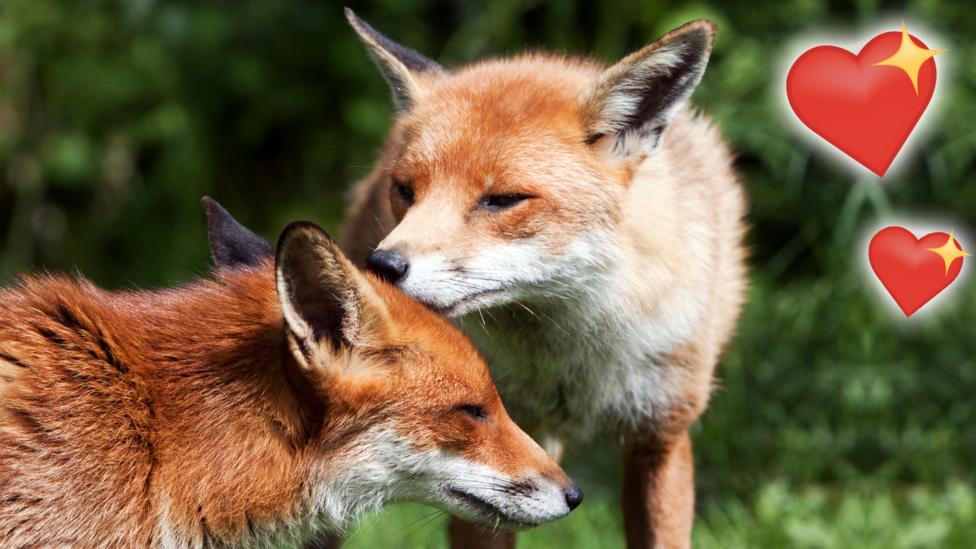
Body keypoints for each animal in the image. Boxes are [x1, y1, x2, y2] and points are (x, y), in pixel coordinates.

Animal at [338, 9, 748, 548]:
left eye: (504, 200)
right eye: (405, 190)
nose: (382, 266)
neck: (566, 361)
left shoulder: (660, 437)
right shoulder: (487, 451)